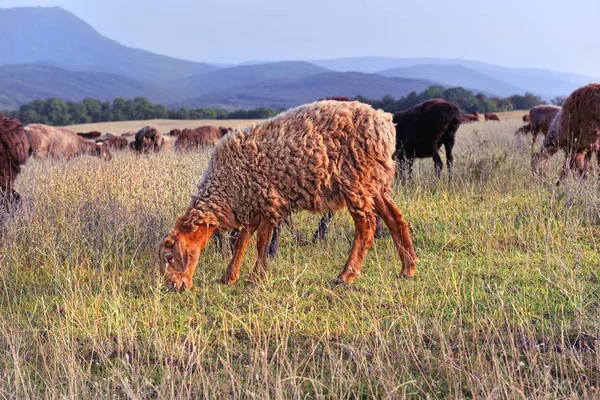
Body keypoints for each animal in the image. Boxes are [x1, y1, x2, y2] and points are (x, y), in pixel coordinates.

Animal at [158, 98, 418, 290]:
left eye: (169, 258)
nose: (172, 287)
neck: (226, 186)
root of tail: (385, 122)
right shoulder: (252, 204)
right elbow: (242, 241)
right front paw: (229, 277)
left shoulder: (268, 201)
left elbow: (261, 242)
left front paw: (256, 278)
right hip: (372, 180)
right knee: (394, 217)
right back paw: (408, 268)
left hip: (355, 179)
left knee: (366, 227)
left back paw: (345, 276)